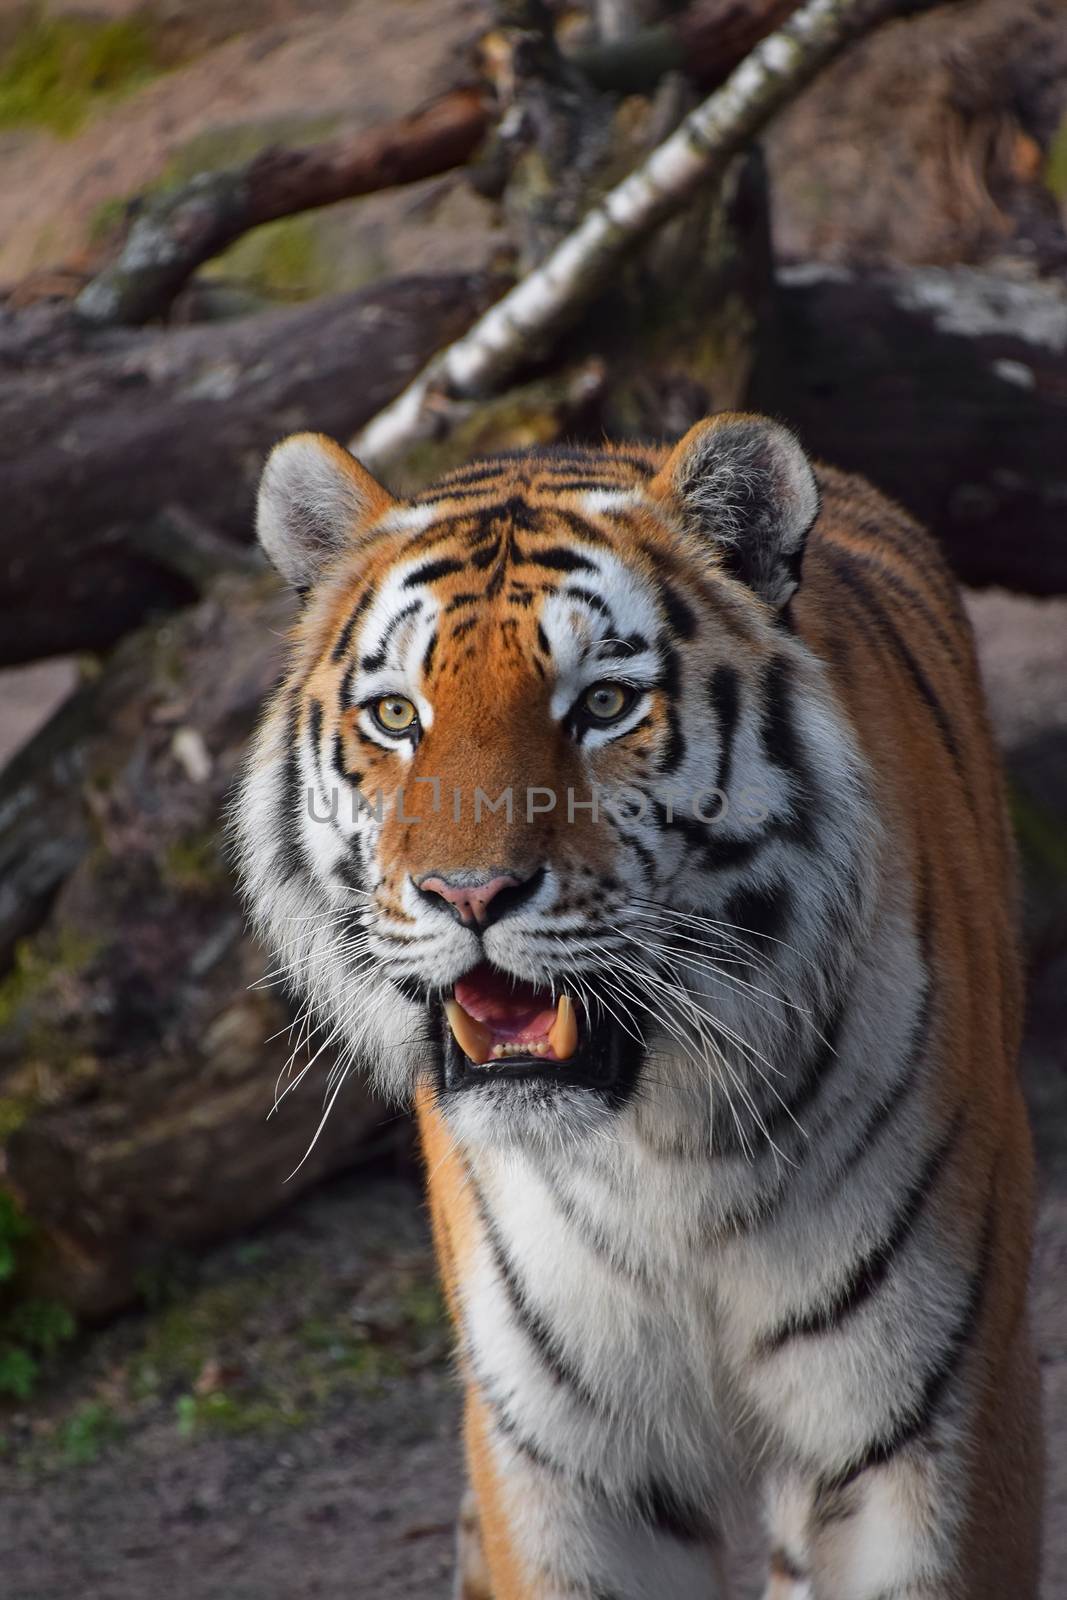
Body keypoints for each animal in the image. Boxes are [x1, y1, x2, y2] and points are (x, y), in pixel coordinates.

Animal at [233, 416, 1043, 1600]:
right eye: (394, 717)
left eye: (604, 705)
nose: (467, 894)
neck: (662, 1155)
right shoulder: (562, 1463)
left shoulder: (931, 1424)